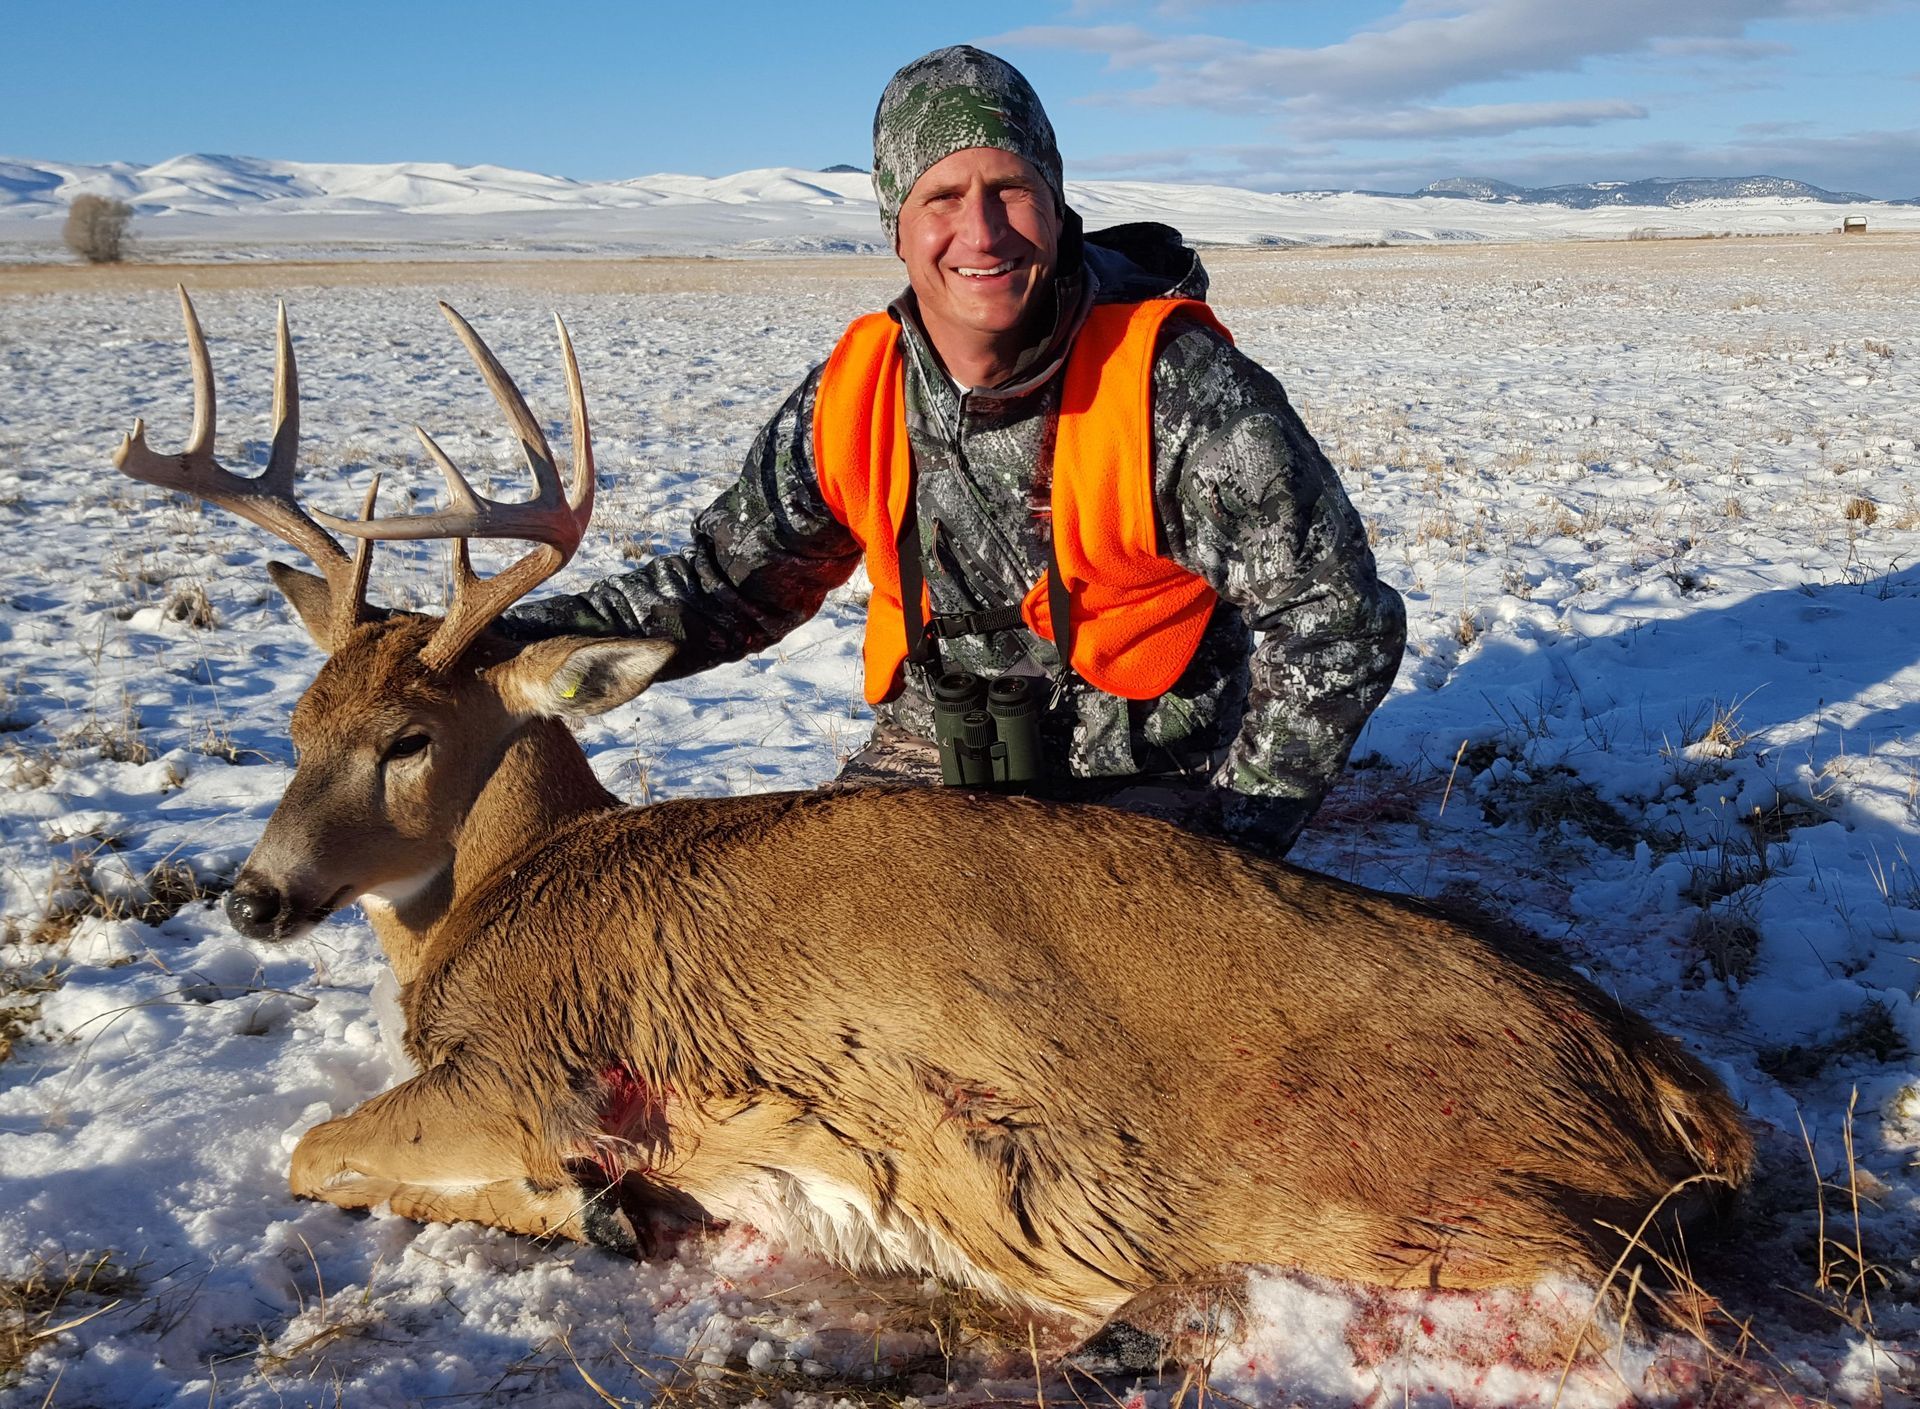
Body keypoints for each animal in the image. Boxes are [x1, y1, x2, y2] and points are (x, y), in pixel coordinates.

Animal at [115, 289, 1751, 1354]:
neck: (514, 884)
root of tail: (1683, 1099)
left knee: (1627, 1307)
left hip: (1417, 1191)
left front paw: (599, 1208)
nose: (252, 896)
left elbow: (316, 1150)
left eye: (409, 739)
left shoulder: (539, 1062)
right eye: (293, 726)